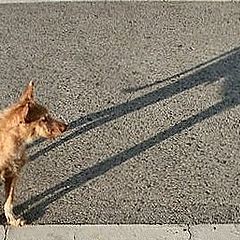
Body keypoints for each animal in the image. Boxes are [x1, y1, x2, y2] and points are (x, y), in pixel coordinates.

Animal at [0, 81, 67, 226]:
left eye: (48, 115)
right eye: (43, 119)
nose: (65, 126)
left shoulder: (12, 173)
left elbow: (9, 201)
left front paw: (13, 219)